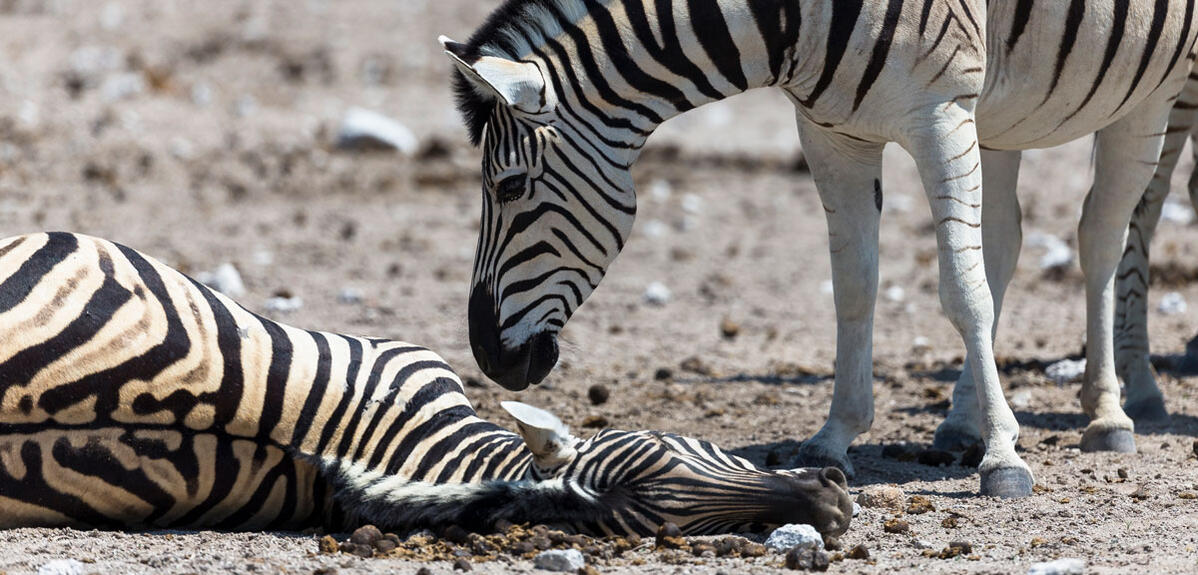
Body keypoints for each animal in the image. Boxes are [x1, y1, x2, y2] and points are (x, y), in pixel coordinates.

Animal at [439, 0, 1198, 499]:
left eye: (510, 186)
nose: (489, 357)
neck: (790, 21)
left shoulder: (939, 110)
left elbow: (961, 290)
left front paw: (1005, 459)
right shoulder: (834, 132)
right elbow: (855, 284)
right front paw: (837, 434)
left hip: (1152, 89)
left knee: (1103, 233)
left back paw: (1108, 411)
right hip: (1002, 111)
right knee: (1008, 239)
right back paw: (962, 420)